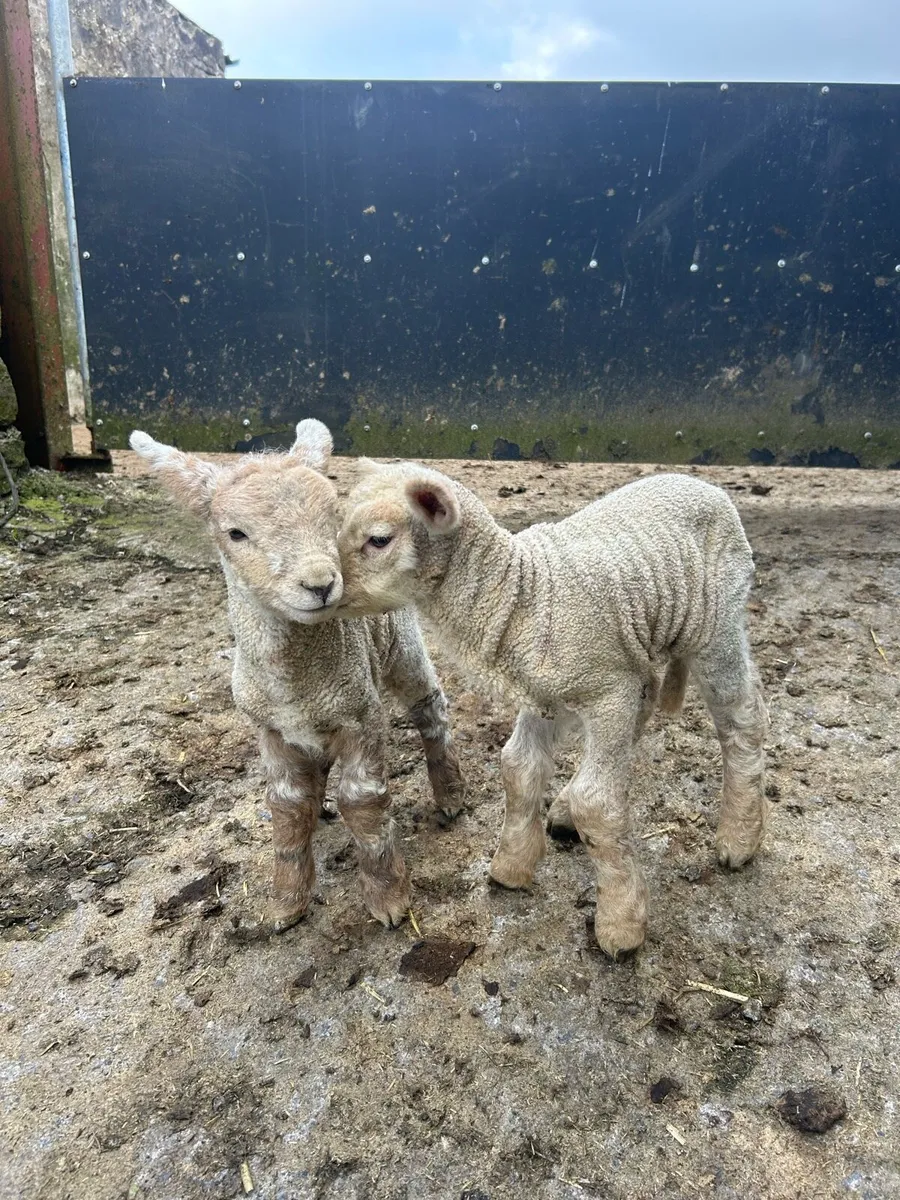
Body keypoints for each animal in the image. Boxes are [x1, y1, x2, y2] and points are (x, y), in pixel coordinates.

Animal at [128, 423, 465, 932]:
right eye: (235, 533)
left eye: (332, 517)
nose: (321, 584)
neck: (296, 683)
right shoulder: (269, 729)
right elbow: (286, 806)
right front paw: (286, 904)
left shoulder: (361, 715)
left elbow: (363, 801)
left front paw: (388, 899)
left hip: (401, 645)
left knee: (431, 709)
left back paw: (450, 795)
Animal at [336, 460, 769, 958]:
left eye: (379, 539)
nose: (324, 586)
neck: (520, 595)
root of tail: (701, 483)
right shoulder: (544, 693)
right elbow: (519, 768)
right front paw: (512, 865)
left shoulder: (609, 690)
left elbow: (597, 802)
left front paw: (621, 922)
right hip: (638, 648)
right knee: (647, 702)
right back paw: (563, 810)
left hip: (716, 625)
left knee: (742, 718)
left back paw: (739, 837)